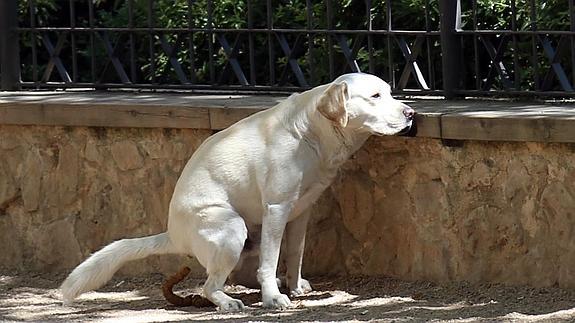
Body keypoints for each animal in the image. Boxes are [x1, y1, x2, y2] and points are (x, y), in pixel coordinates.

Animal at [60, 73, 416, 312]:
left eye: (390, 92)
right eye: (375, 96)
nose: (411, 113)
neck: (312, 132)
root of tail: (174, 234)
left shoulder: (301, 210)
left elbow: (295, 253)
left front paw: (294, 285)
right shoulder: (277, 209)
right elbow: (271, 261)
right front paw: (273, 298)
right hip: (231, 227)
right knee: (209, 286)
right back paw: (227, 302)